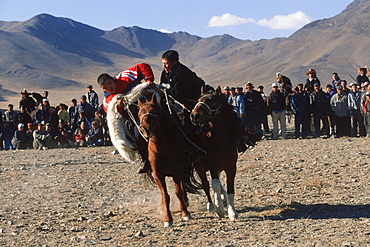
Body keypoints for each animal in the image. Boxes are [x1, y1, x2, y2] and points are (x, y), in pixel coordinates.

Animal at [138, 93, 202, 227]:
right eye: (139, 113)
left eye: (154, 111)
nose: (146, 128)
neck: (161, 150)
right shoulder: (158, 175)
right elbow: (165, 196)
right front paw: (167, 219)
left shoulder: (176, 172)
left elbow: (178, 192)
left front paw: (185, 214)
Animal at [191, 86, 240, 220]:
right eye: (198, 100)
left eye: (212, 101)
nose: (194, 115)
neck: (221, 144)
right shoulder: (213, 167)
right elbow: (215, 185)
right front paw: (220, 210)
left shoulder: (231, 167)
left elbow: (230, 189)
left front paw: (232, 212)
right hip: (199, 166)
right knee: (206, 184)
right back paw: (212, 206)